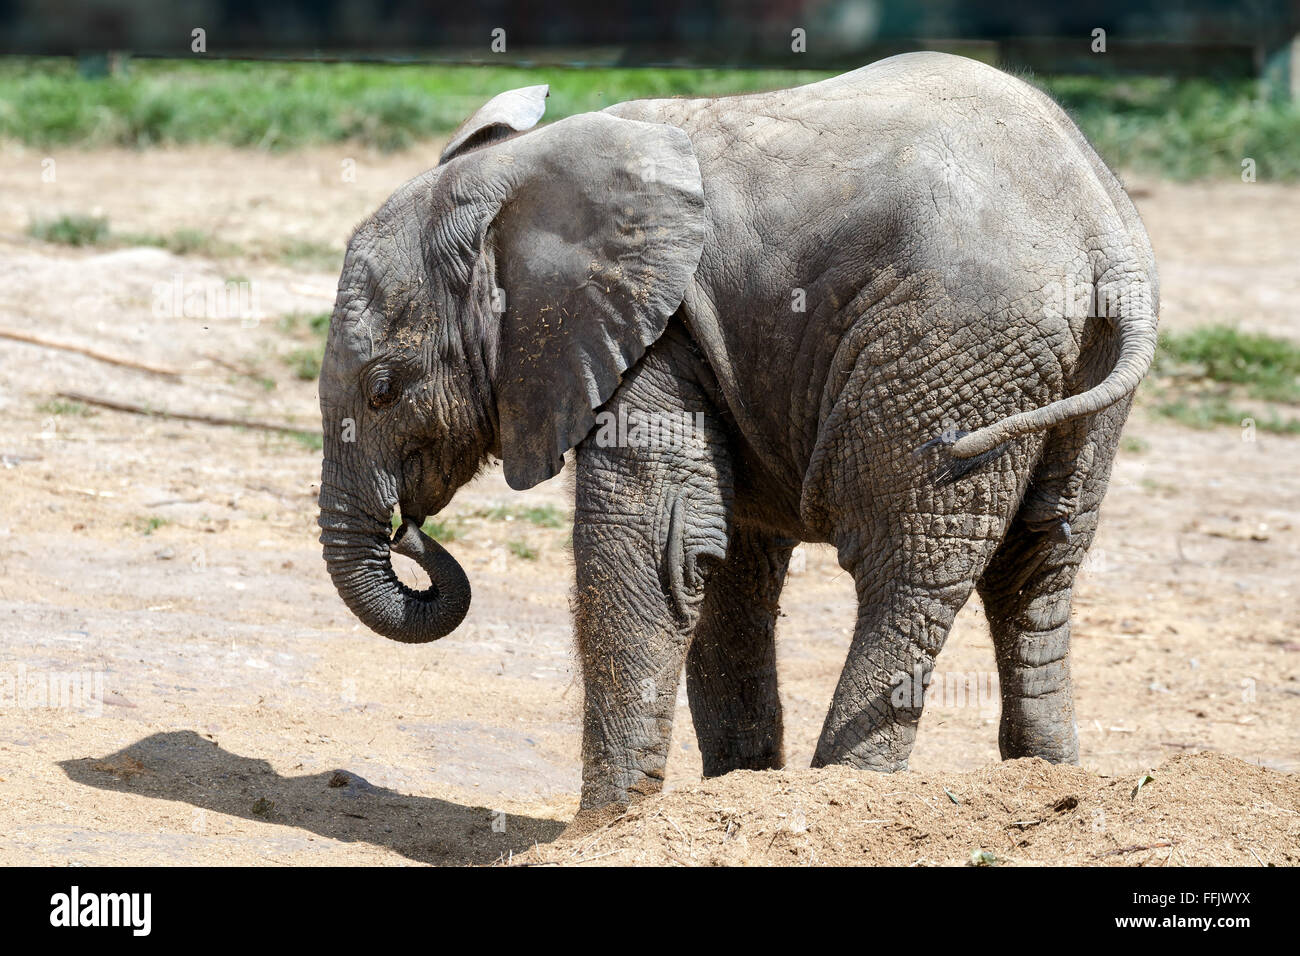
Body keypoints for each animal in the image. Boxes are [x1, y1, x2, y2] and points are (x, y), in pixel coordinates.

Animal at [316, 52, 1158, 811]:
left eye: (383, 389)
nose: (409, 530)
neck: (517, 179)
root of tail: (1103, 238)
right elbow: (724, 563)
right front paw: (735, 788)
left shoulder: (654, 338)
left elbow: (657, 547)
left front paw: (603, 828)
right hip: (1061, 384)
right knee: (1037, 565)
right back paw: (1045, 779)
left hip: (951, 346)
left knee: (906, 559)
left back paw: (846, 789)